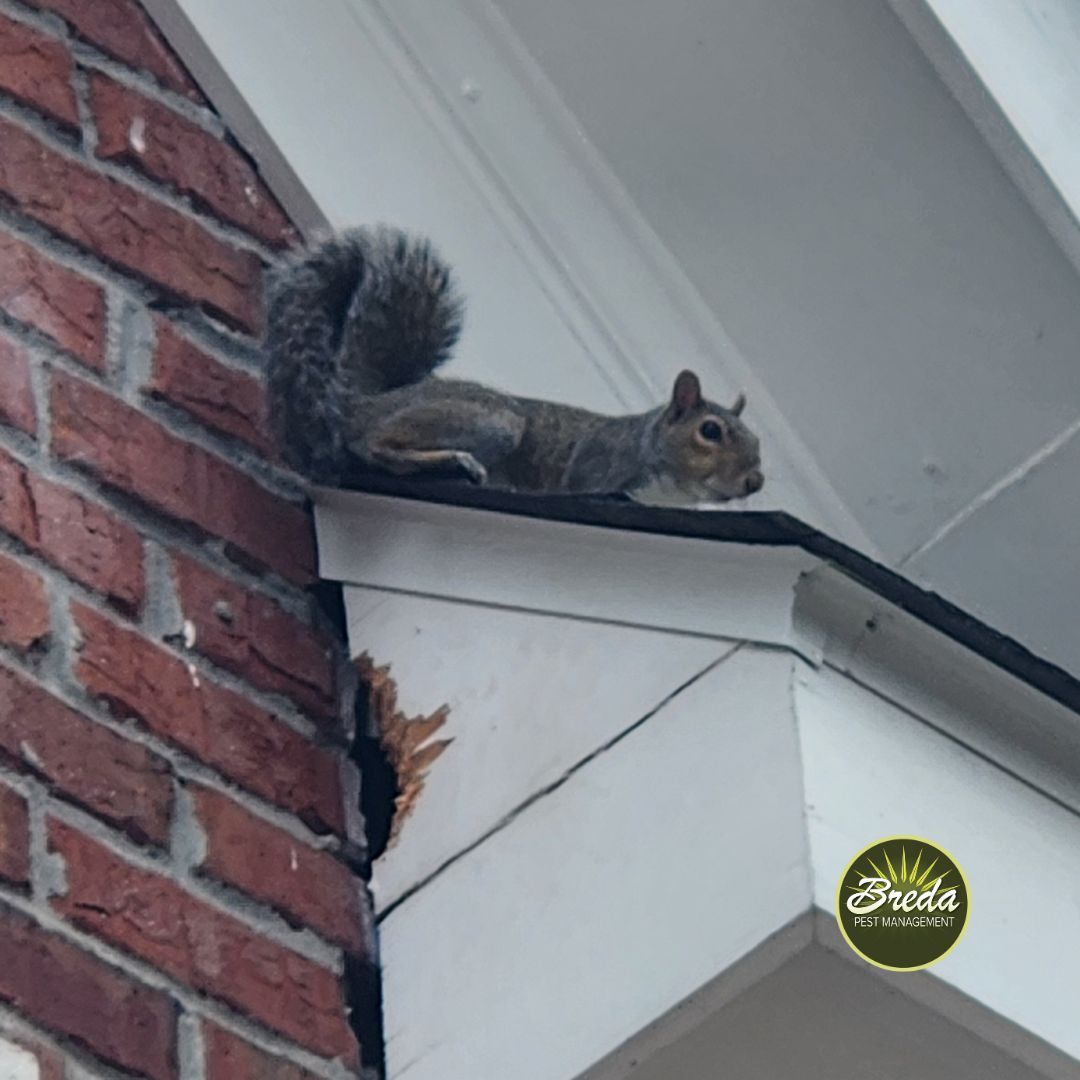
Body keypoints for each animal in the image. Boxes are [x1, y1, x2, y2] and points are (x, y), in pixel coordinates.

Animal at [265, 225, 764, 500]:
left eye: (757, 441)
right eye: (710, 431)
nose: (755, 481)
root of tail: (366, 402)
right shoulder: (596, 470)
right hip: (492, 422)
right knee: (376, 445)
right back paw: (457, 459)